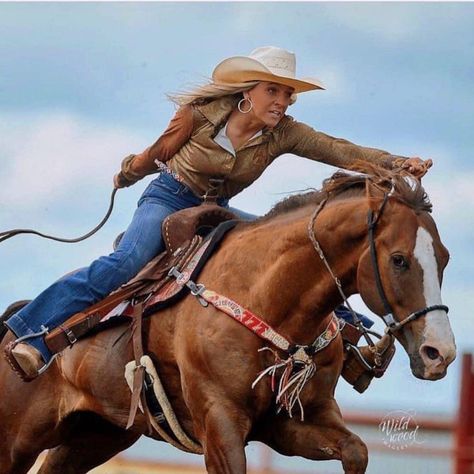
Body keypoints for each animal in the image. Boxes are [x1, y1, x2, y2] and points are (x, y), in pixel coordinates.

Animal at [0, 167, 456, 474]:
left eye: (445, 258)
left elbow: (356, 450)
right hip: (16, 443)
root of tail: (9, 332)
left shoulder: (292, 423)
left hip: (94, 435)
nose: (441, 353)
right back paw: (27, 352)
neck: (267, 296)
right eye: (398, 259)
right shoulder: (220, 425)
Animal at [5, 46, 432, 380]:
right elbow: (163, 144)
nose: (436, 353)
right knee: (114, 266)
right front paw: (128, 170)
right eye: (399, 260)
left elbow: (336, 147)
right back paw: (26, 350)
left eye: (442, 259)